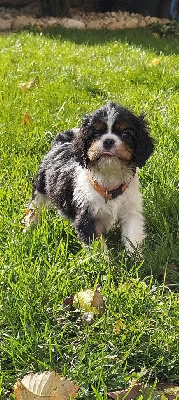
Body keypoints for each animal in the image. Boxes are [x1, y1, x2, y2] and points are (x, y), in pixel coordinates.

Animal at [23, 103, 154, 253]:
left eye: (125, 134)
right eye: (95, 134)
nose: (108, 141)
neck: (108, 180)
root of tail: (60, 143)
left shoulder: (131, 211)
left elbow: (132, 237)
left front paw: (134, 257)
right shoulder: (86, 217)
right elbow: (96, 246)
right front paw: (103, 259)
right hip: (40, 187)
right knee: (34, 207)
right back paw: (29, 227)